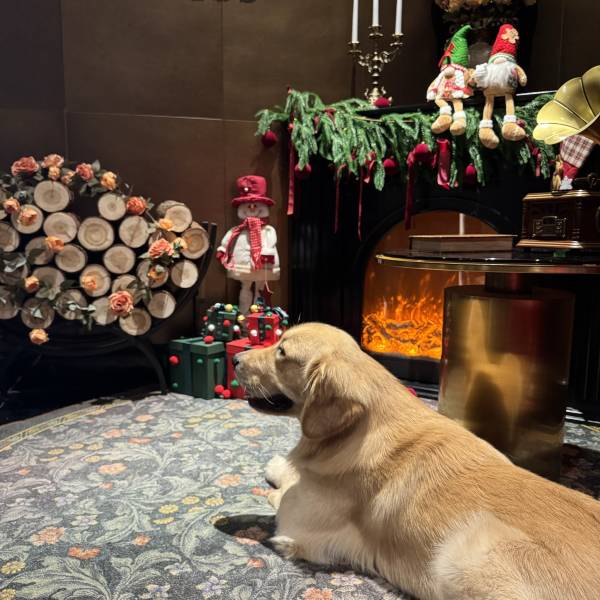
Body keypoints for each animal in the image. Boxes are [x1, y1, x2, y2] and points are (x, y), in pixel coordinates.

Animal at [233, 322, 600, 600]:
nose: (235, 357)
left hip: (466, 553)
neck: (360, 427)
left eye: (281, 352)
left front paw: (279, 474)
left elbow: (285, 492)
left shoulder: (297, 522)